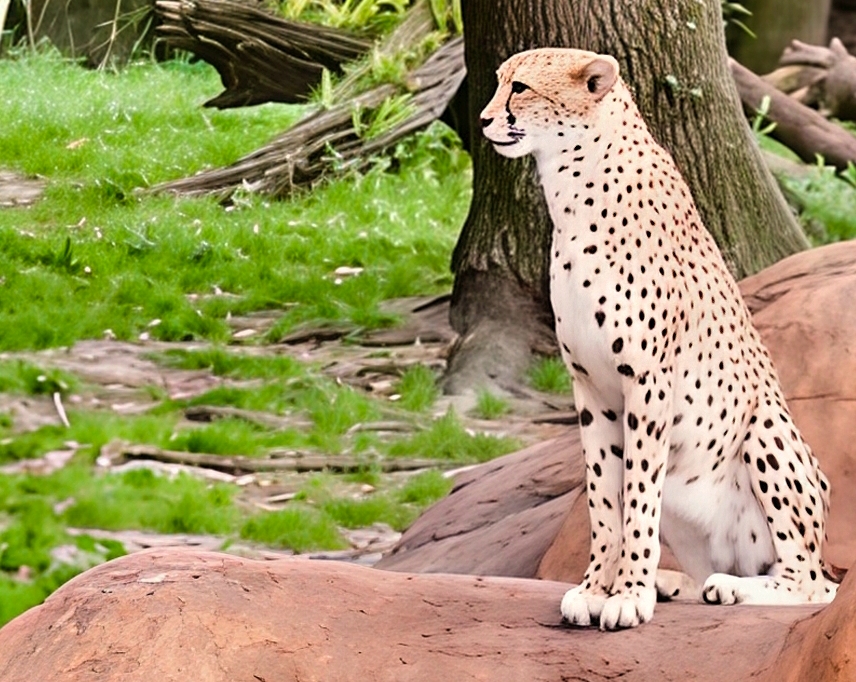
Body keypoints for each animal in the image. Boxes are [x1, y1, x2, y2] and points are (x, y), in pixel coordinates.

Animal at [479, 47, 838, 630]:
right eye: (498, 84)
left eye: (522, 88)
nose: (485, 120)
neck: (572, 187)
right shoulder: (589, 386)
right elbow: (606, 498)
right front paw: (596, 588)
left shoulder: (647, 381)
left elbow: (638, 494)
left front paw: (627, 594)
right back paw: (679, 584)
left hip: (766, 429)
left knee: (813, 585)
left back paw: (733, 588)